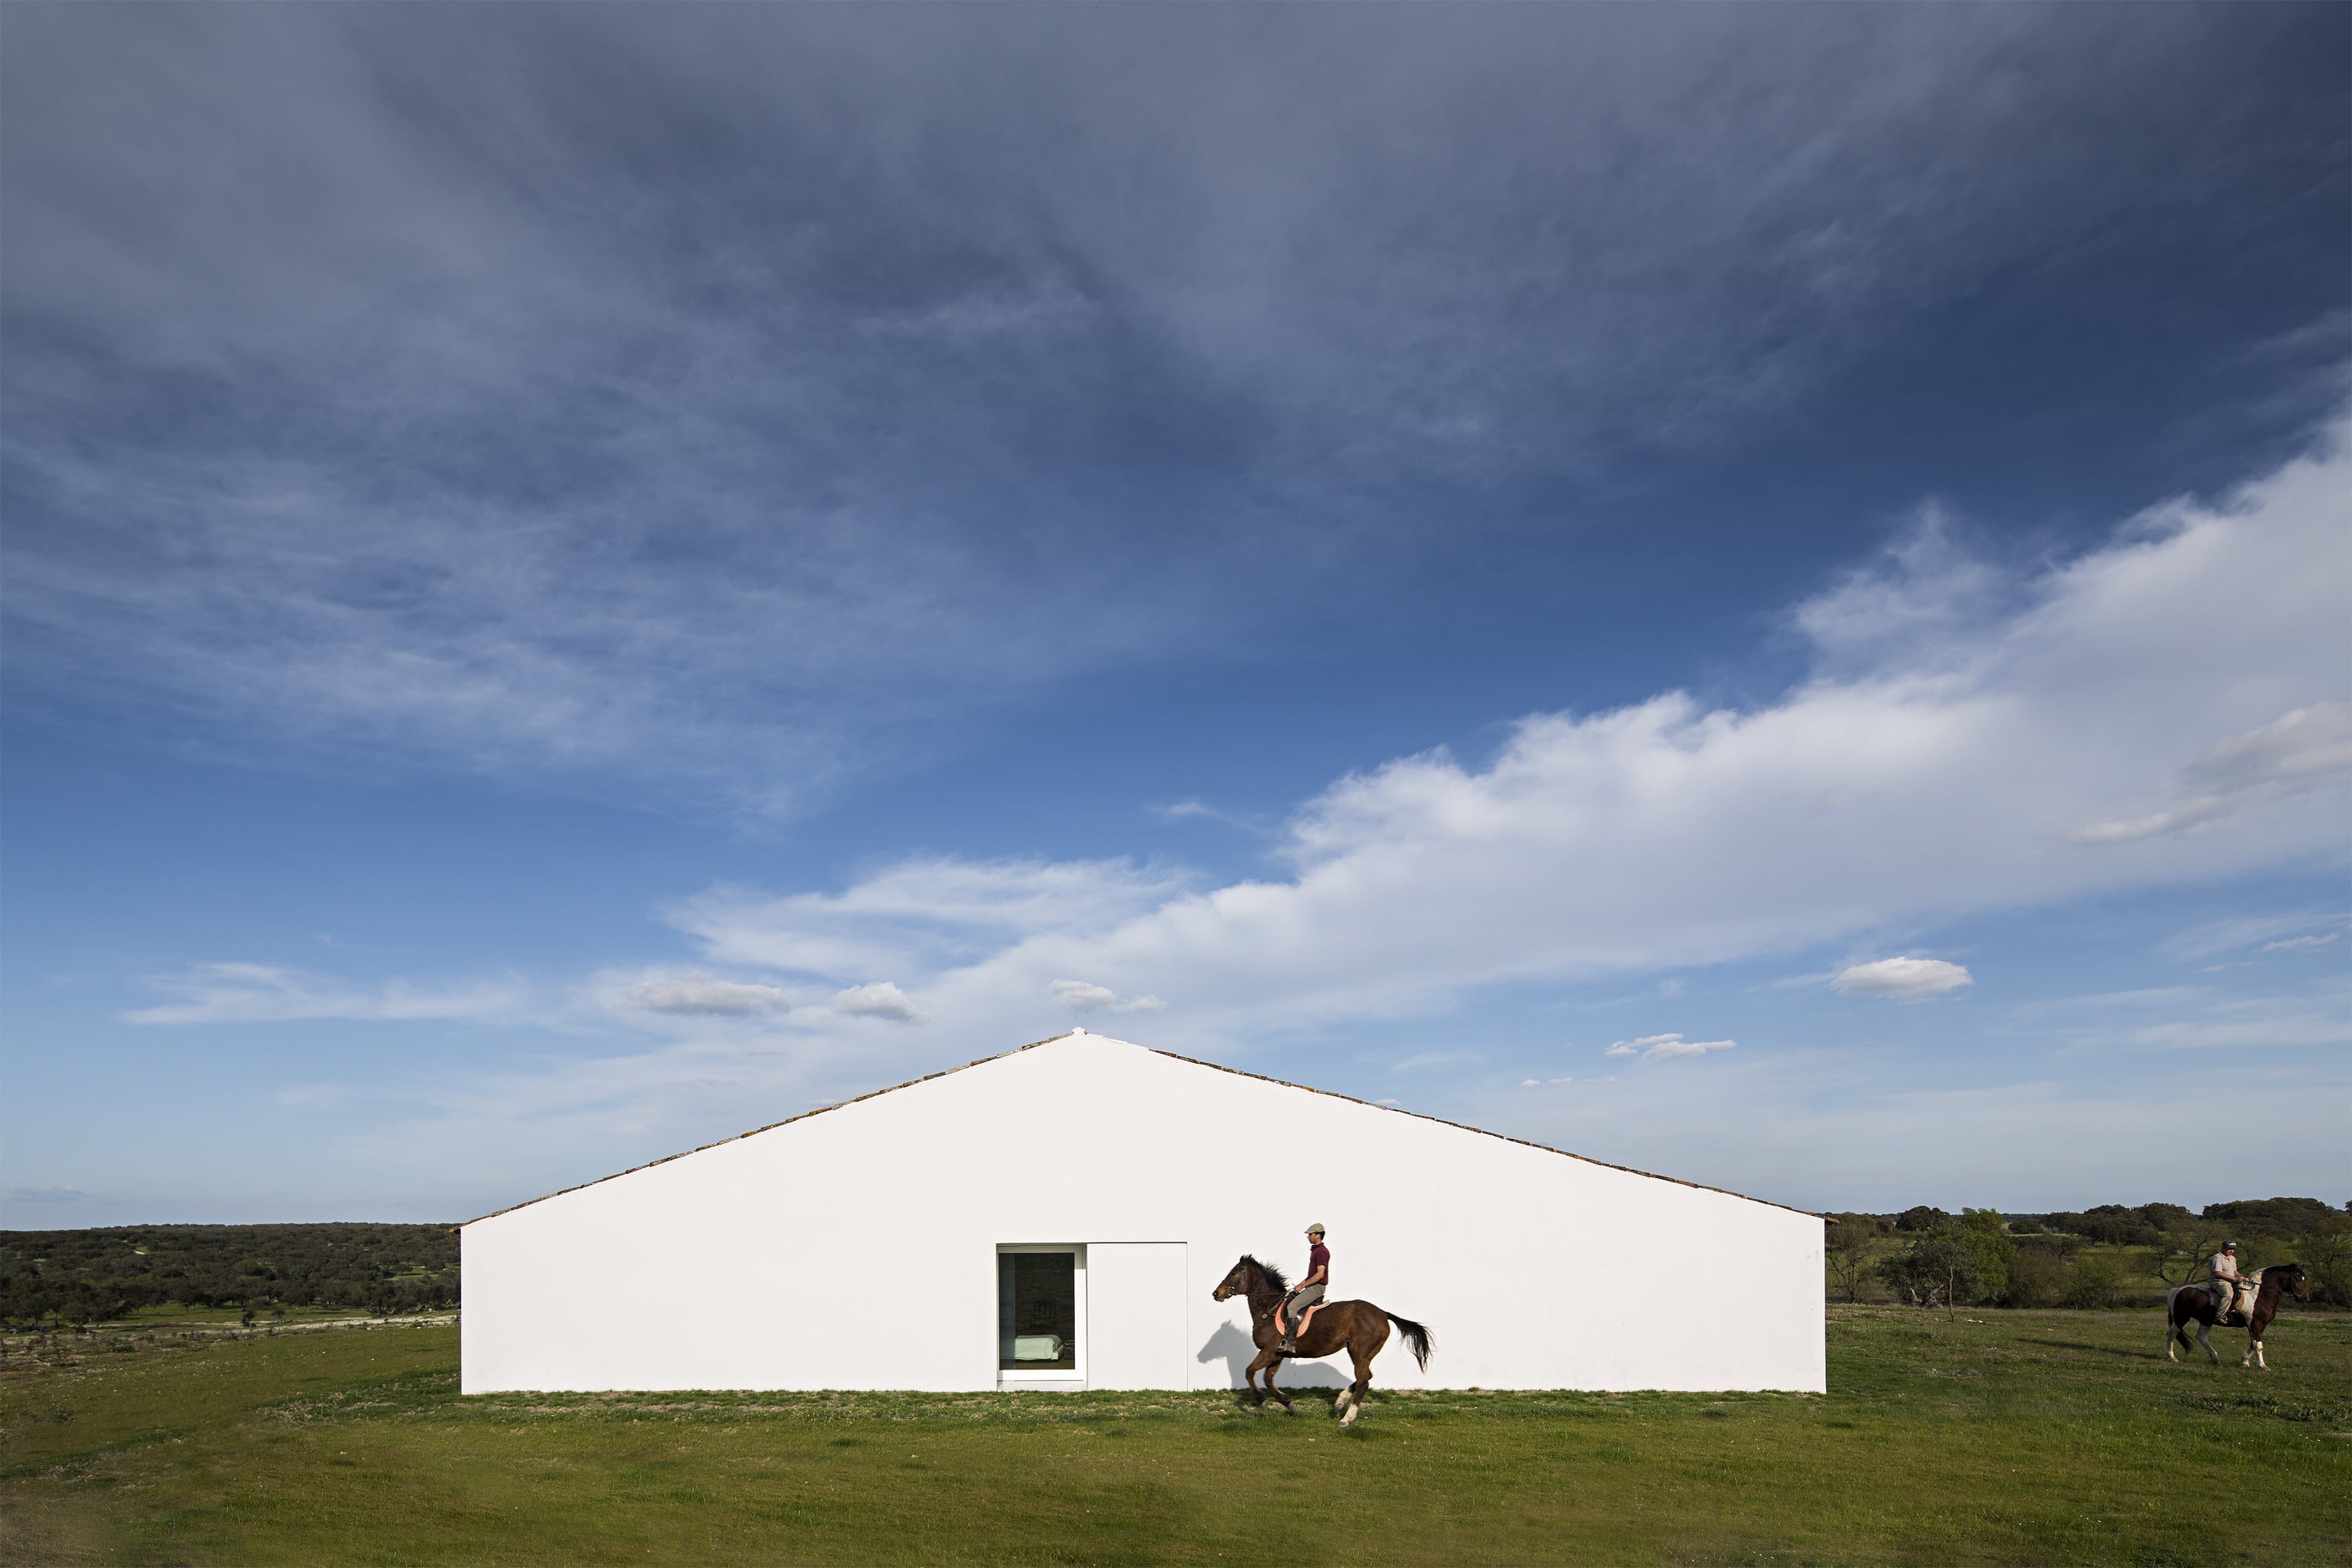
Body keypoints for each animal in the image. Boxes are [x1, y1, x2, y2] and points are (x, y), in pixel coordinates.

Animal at [1214, 1260, 1430, 1429]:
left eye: (1234, 1272)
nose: (1216, 1293)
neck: (1269, 1309)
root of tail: (1383, 1314)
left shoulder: (1269, 1352)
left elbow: (1249, 1372)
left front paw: (1262, 1400)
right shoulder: (1277, 1354)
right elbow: (1268, 1379)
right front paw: (1288, 1404)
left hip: (1360, 1352)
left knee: (1363, 1382)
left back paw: (1346, 1419)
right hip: (1358, 1352)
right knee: (1366, 1376)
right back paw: (1339, 1403)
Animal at [2164, 1260, 2314, 1363]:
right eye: (2297, 1278)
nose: (2305, 1298)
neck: (2258, 1295)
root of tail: (2177, 1290)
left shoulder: (2260, 1325)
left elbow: (2254, 1344)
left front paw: (2245, 1360)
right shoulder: (2255, 1324)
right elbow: (2258, 1346)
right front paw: (2262, 1365)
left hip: (2205, 1320)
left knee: (2201, 1337)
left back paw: (2215, 1358)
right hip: (2181, 1317)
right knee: (2172, 1333)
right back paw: (2172, 1357)